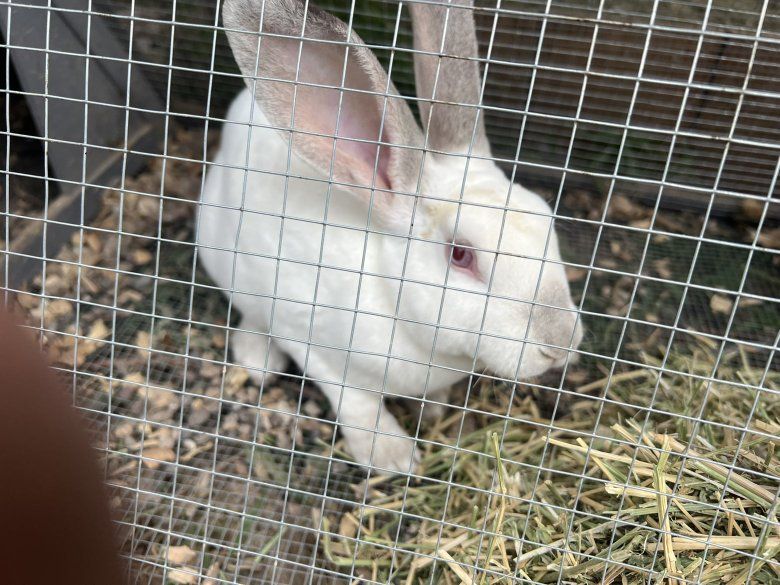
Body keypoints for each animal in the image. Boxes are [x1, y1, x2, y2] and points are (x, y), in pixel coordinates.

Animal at [197, 0, 583, 473]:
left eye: (548, 220)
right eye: (461, 255)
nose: (561, 343)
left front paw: (432, 409)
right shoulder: (311, 342)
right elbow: (358, 404)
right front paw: (394, 459)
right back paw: (259, 361)